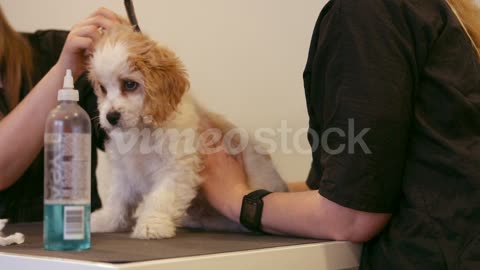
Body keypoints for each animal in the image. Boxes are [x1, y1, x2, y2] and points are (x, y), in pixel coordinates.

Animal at [88, 22, 286, 239]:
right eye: (102, 88)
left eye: (129, 84)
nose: (111, 117)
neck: (142, 131)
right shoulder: (125, 171)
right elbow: (117, 199)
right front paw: (106, 221)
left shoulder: (176, 166)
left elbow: (161, 198)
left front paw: (152, 224)